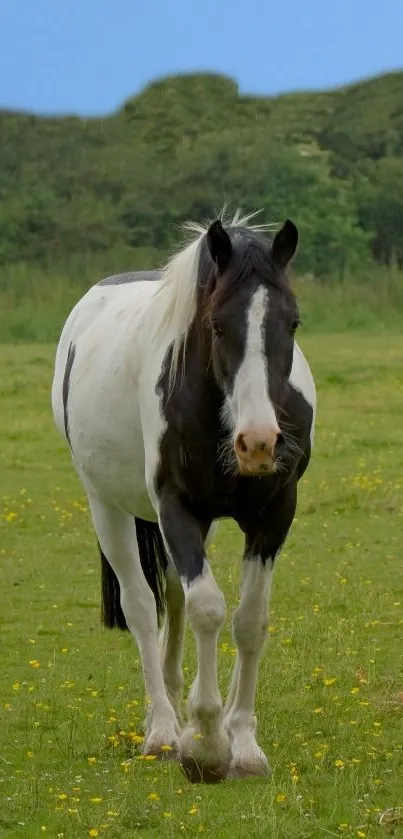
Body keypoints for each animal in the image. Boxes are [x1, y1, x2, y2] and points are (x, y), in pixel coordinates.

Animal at [51, 212, 316, 788]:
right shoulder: (177, 509)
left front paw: (243, 744)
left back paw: (174, 702)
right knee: (142, 606)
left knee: (172, 595)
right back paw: (163, 730)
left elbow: (249, 620)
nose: (258, 443)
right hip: (107, 506)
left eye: (292, 323)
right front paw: (206, 743)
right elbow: (209, 609)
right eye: (216, 326)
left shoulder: (273, 515)